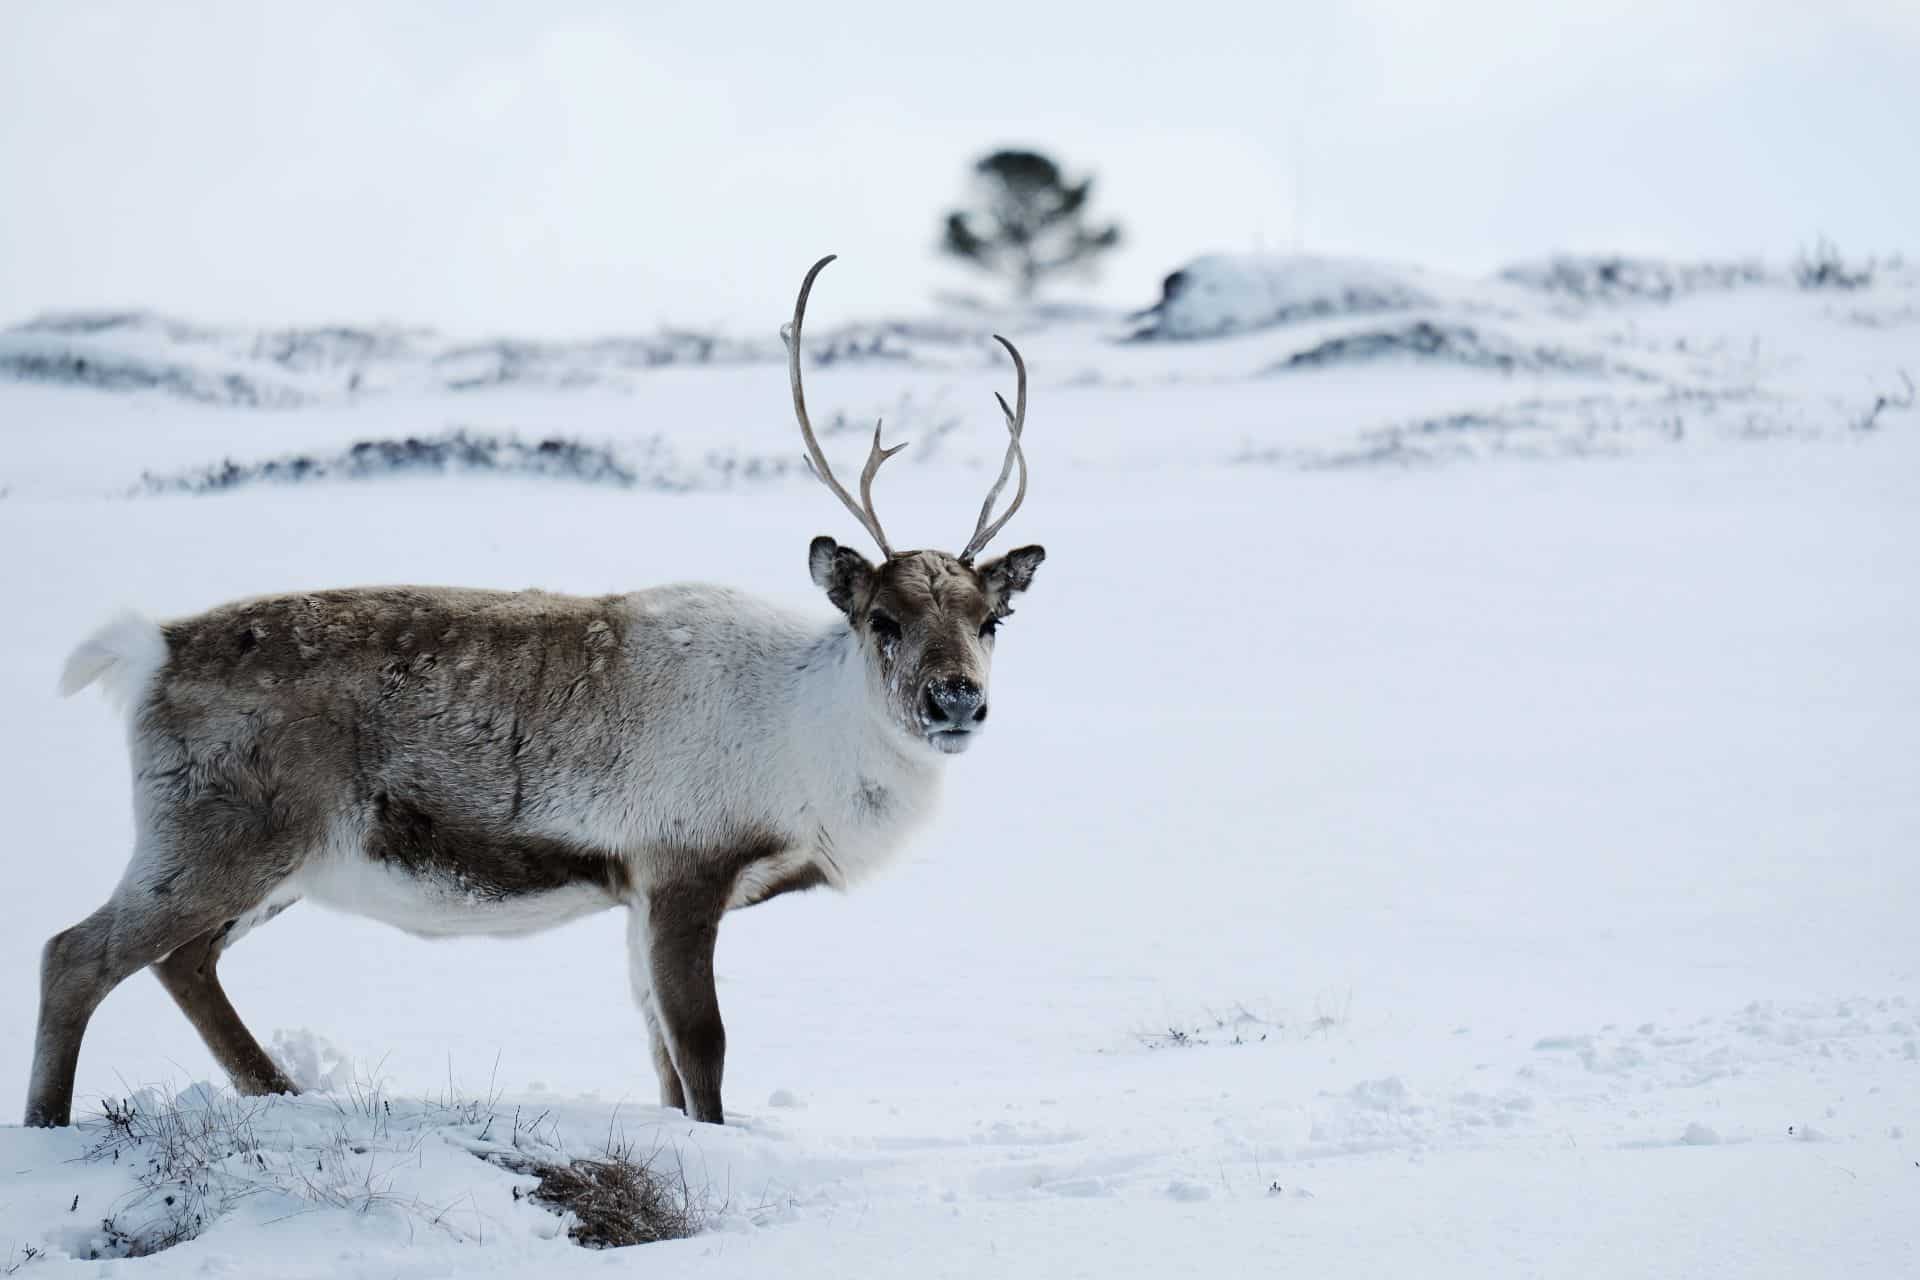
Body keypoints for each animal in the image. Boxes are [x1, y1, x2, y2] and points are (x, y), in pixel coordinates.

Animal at [25, 254, 1045, 1128]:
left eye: (990, 619)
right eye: (881, 618)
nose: (956, 700)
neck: (808, 736)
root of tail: (153, 647)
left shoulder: (636, 893)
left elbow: (662, 1057)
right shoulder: (683, 869)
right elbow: (703, 1048)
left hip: (274, 859)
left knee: (181, 963)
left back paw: (280, 1095)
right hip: (218, 835)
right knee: (76, 954)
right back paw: (52, 1126)